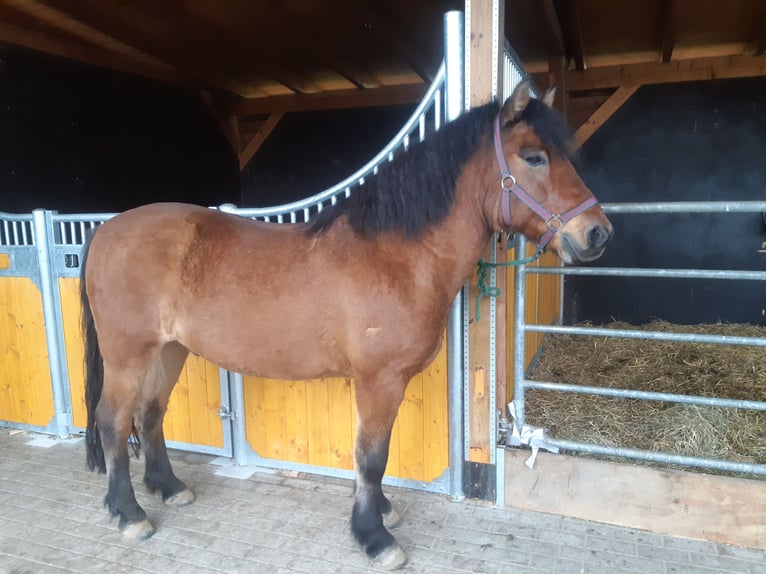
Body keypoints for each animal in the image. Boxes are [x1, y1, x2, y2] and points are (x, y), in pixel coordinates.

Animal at [81, 80, 616, 572]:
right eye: (534, 157)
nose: (598, 233)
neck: (397, 256)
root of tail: (106, 229)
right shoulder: (379, 380)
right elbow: (371, 458)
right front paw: (374, 537)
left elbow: (376, 458)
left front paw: (382, 513)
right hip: (128, 354)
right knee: (112, 421)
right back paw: (129, 514)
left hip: (169, 349)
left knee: (149, 413)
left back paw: (169, 488)